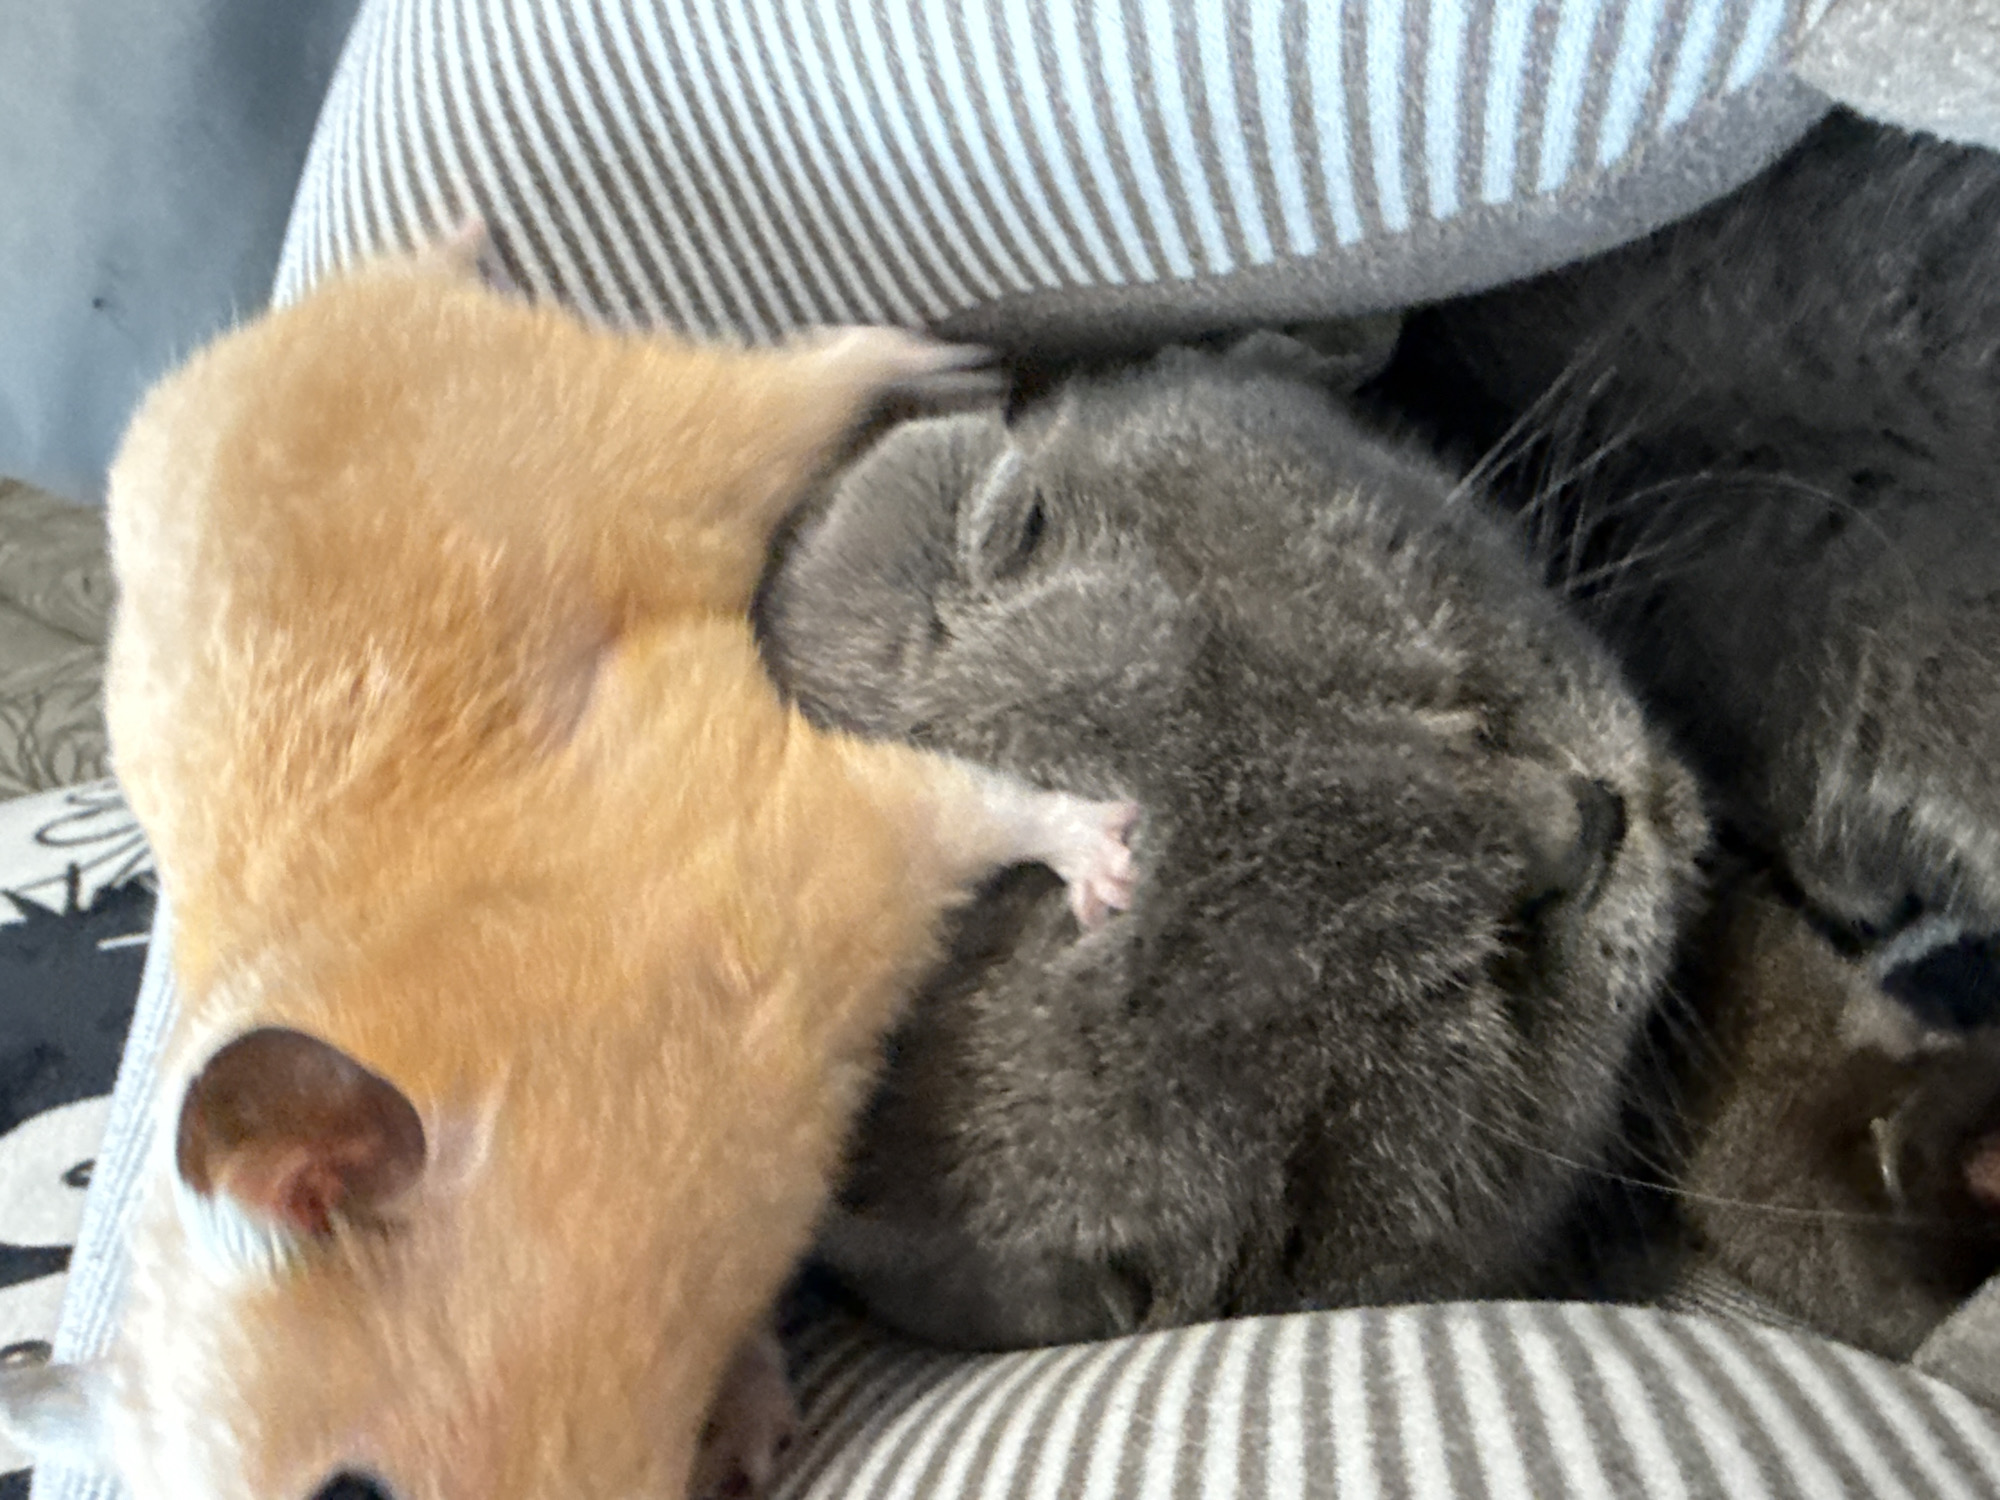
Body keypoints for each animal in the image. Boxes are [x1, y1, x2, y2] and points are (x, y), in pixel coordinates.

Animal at [0, 233, 1135, 1500]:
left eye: (348, 1493)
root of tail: (317, 308)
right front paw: (748, 1441)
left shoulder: (808, 822)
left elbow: (979, 801)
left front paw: (1112, 866)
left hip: (679, 433)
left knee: (817, 367)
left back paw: (950, 361)